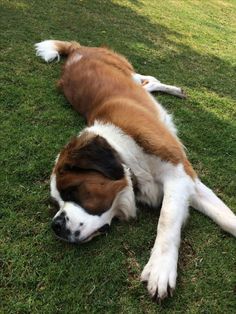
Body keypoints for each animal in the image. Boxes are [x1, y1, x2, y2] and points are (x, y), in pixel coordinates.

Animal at [35, 39, 236, 302]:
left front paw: (160, 269)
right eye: (57, 203)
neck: (125, 154)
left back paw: (174, 90)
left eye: (73, 191)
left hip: (126, 68)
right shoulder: (187, 181)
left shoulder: (179, 173)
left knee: (146, 79)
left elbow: (167, 217)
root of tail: (76, 50)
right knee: (146, 85)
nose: (56, 226)